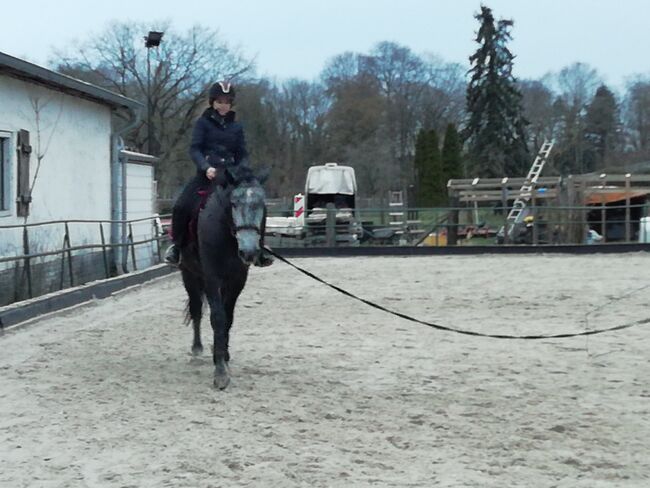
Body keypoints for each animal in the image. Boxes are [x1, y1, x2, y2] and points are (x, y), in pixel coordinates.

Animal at [177, 168, 266, 388]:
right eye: (233, 203)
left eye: (262, 204)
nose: (249, 251)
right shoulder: (212, 279)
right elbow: (217, 318)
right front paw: (220, 372)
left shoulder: (237, 280)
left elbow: (228, 318)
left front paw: (223, 356)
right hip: (189, 274)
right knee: (196, 309)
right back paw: (197, 348)